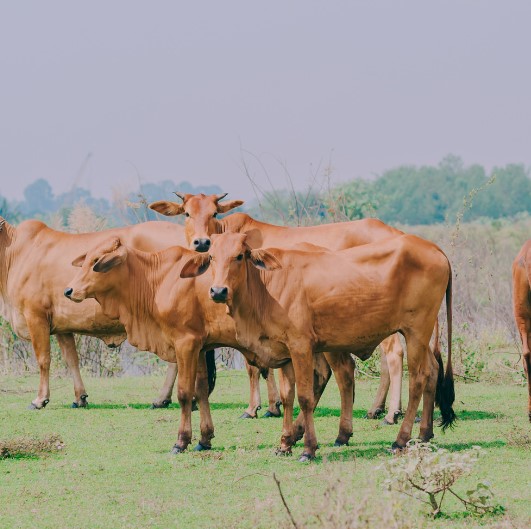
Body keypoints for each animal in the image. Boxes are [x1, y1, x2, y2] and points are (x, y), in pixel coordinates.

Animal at [181, 231, 456, 458]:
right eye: (212, 257)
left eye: (239, 256)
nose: (218, 291)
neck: (266, 287)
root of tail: (435, 248)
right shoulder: (284, 351)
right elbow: (287, 396)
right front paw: (285, 443)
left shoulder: (301, 347)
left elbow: (304, 397)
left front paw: (308, 448)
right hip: (420, 335)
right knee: (432, 372)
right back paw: (424, 434)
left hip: (416, 332)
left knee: (418, 379)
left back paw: (400, 440)